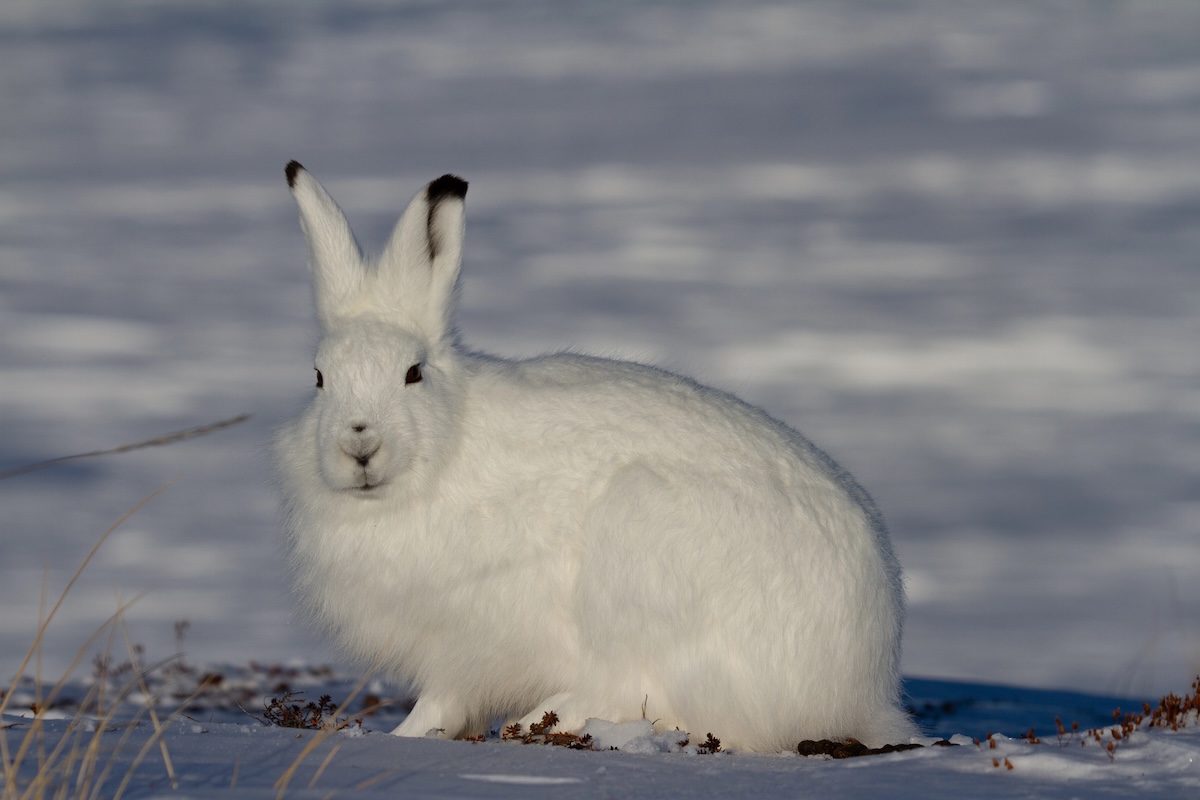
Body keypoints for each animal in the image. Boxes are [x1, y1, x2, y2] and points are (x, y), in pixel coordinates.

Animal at [274, 160, 917, 753]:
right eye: (319, 378)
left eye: (412, 373)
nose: (359, 443)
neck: (441, 457)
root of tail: (858, 688)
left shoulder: (471, 640)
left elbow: (443, 698)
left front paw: (404, 735)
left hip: (642, 545)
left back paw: (541, 717)